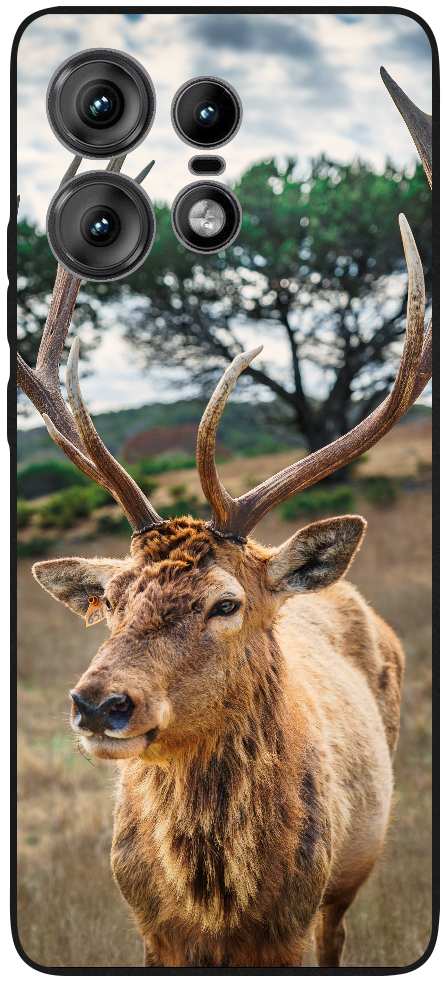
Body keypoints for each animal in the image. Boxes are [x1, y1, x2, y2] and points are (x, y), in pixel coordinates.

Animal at [18, 70, 432, 967]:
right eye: (112, 599)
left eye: (225, 602)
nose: (100, 704)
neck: (218, 906)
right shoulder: (148, 929)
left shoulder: (298, 921)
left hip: (353, 873)